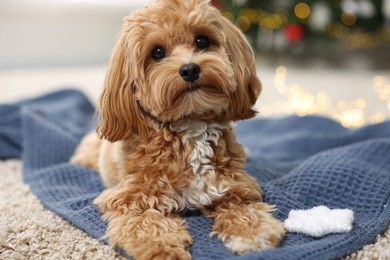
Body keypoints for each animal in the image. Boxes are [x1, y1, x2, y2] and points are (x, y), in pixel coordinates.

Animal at [71, 0, 284, 258]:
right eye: (157, 52)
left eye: (202, 41)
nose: (190, 69)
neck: (190, 125)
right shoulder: (129, 200)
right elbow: (146, 224)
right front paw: (161, 248)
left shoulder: (235, 188)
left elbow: (245, 211)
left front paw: (253, 233)